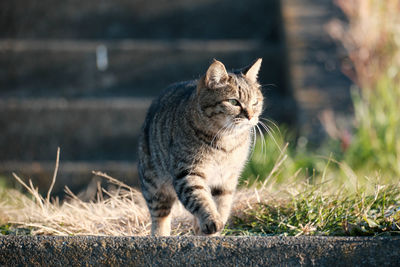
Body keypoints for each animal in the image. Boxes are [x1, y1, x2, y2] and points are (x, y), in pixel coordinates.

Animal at [139, 58, 264, 237]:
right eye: (233, 102)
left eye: (255, 102)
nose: (251, 116)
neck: (226, 143)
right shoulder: (187, 172)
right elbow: (200, 199)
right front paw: (211, 220)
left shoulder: (226, 179)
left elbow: (222, 205)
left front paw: (214, 228)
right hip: (153, 184)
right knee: (160, 216)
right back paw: (159, 235)